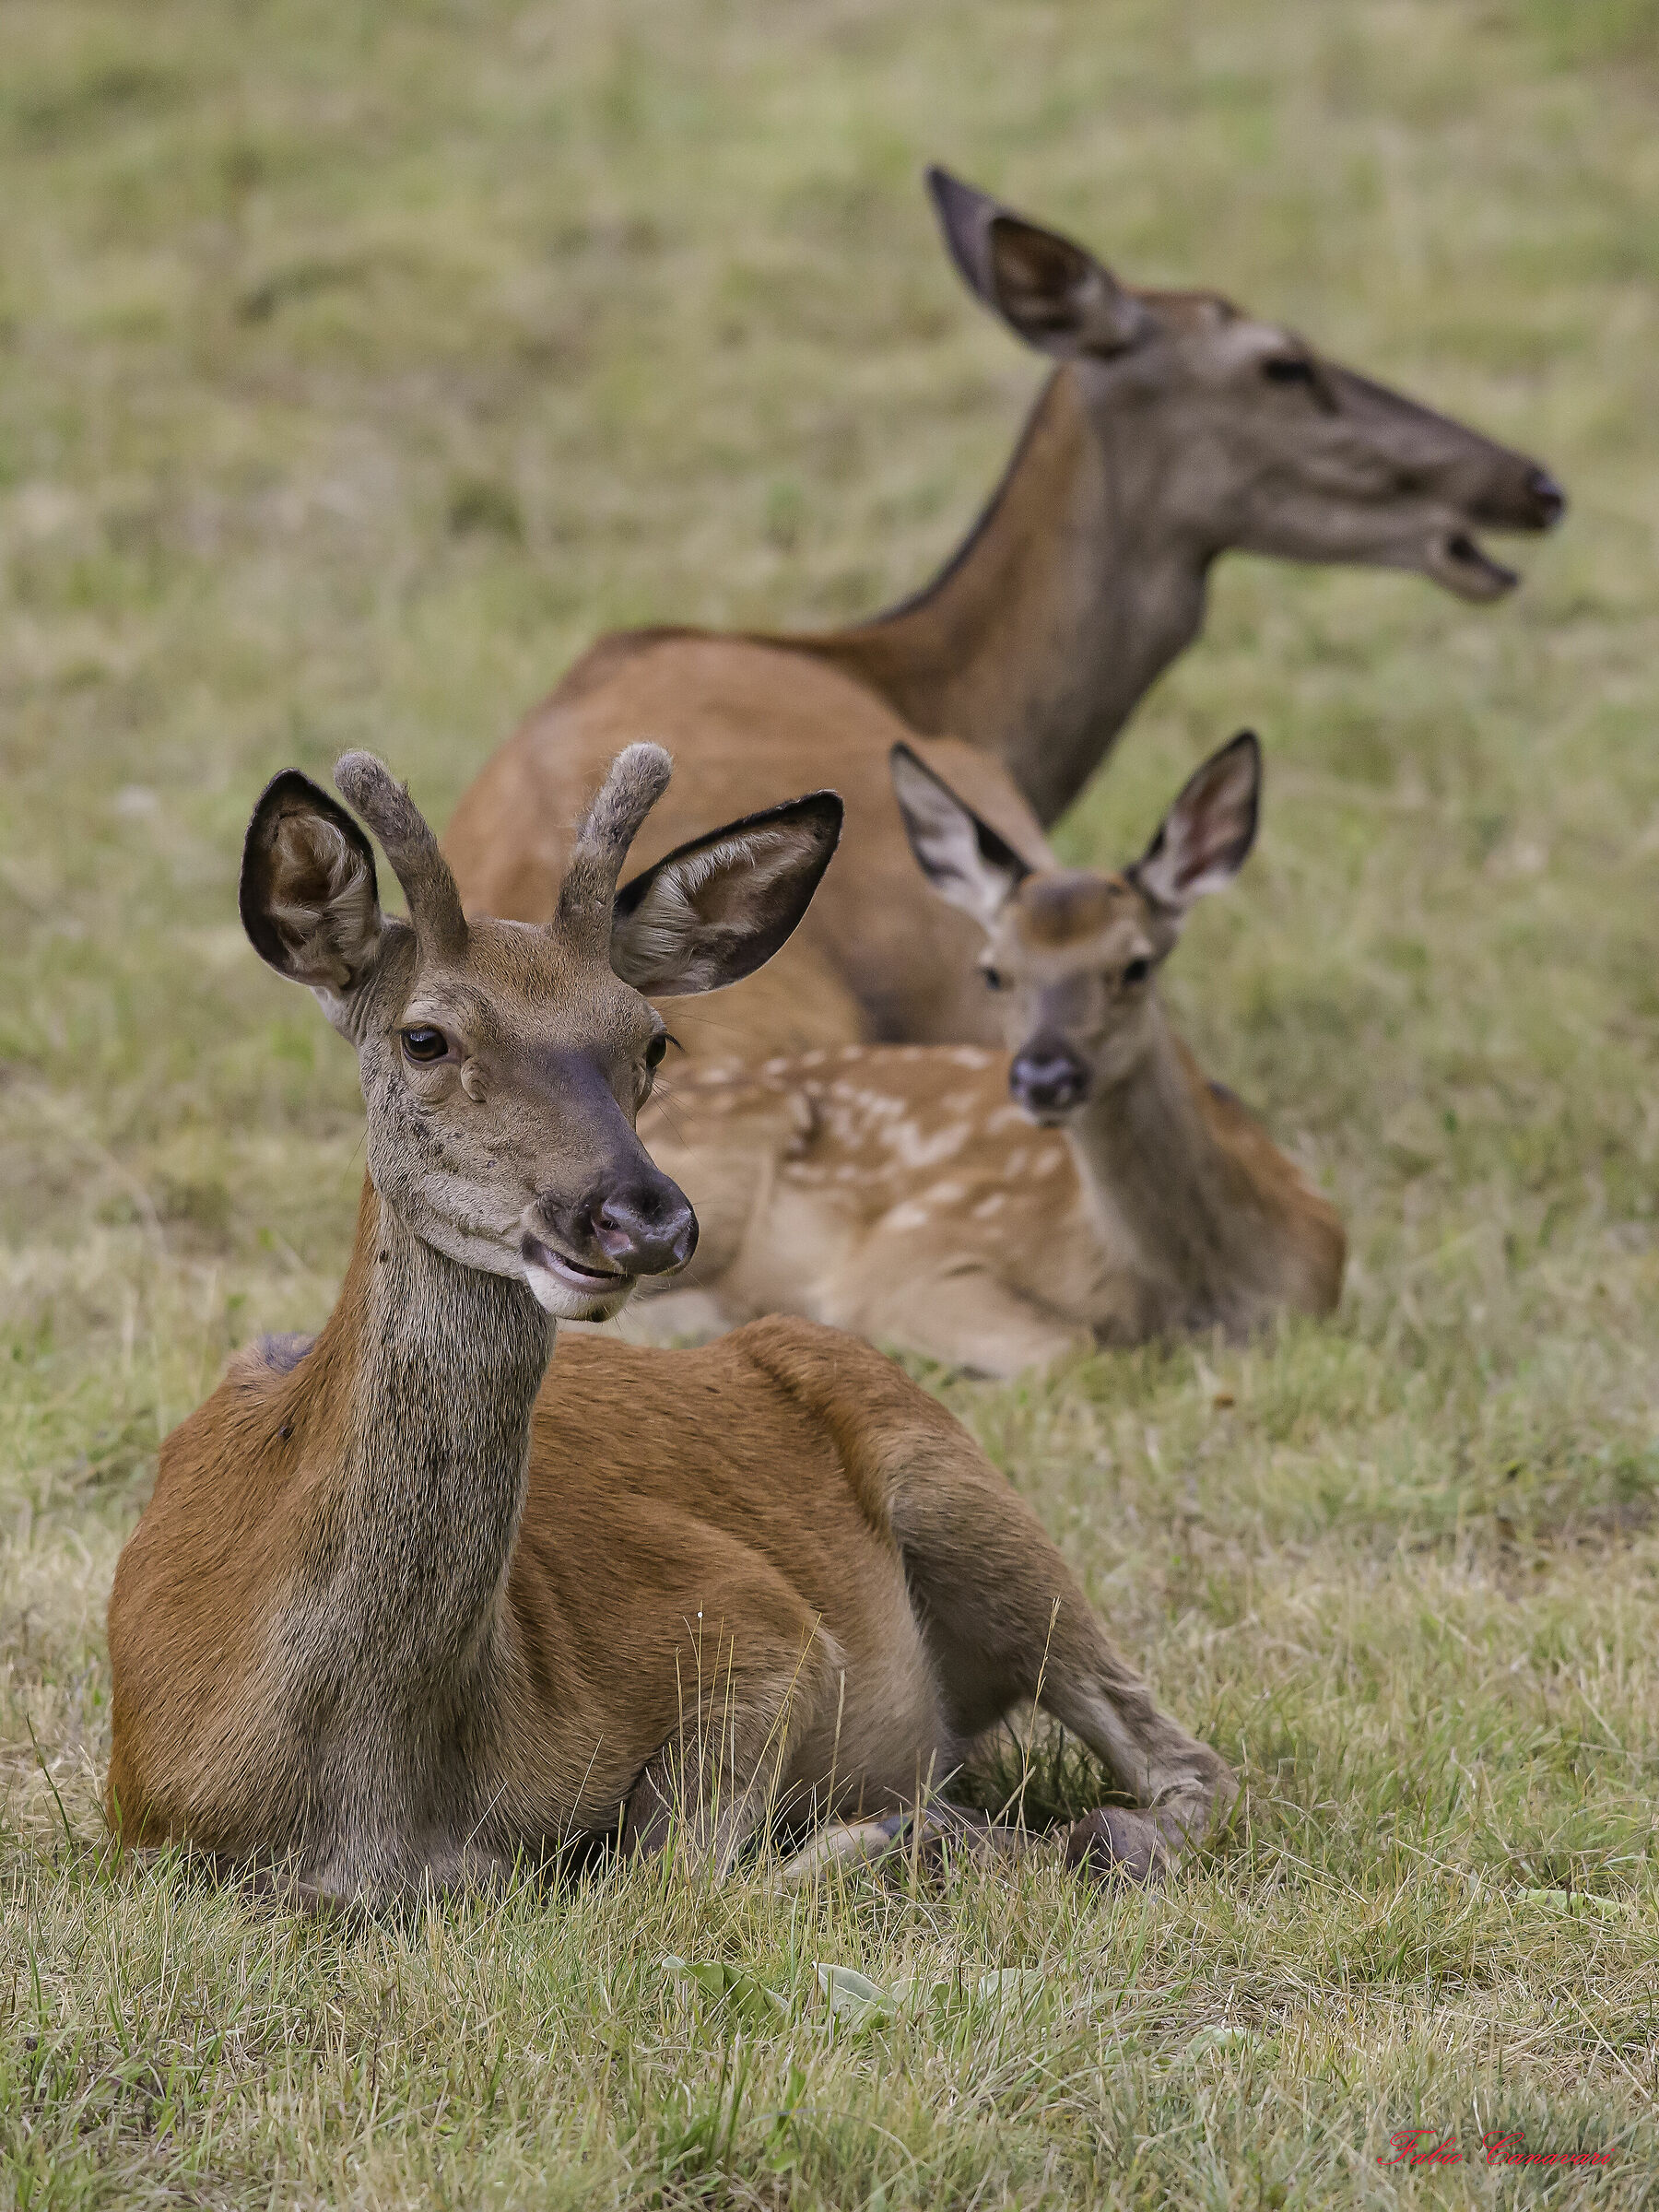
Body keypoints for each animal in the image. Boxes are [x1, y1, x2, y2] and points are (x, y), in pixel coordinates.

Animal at [104, 747, 1236, 1906]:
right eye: (425, 1036)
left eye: (652, 1039)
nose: (638, 1216)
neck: (381, 1801)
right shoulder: (141, 1818)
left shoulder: (754, 1619)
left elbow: (667, 1873)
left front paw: (914, 1835)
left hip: (962, 1488)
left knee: (1187, 1764)